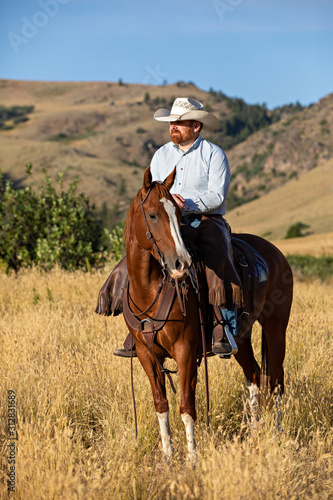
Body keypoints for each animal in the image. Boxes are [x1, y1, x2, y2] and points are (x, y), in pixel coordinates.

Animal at [118, 166, 290, 458]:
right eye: (152, 215)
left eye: (178, 215)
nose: (181, 263)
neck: (149, 289)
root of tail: (275, 253)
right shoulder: (145, 354)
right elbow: (161, 404)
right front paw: (167, 456)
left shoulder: (186, 350)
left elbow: (187, 406)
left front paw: (192, 458)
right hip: (241, 337)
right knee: (254, 374)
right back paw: (255, 431)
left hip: (276, 328)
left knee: (276, 381)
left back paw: (276, 434)